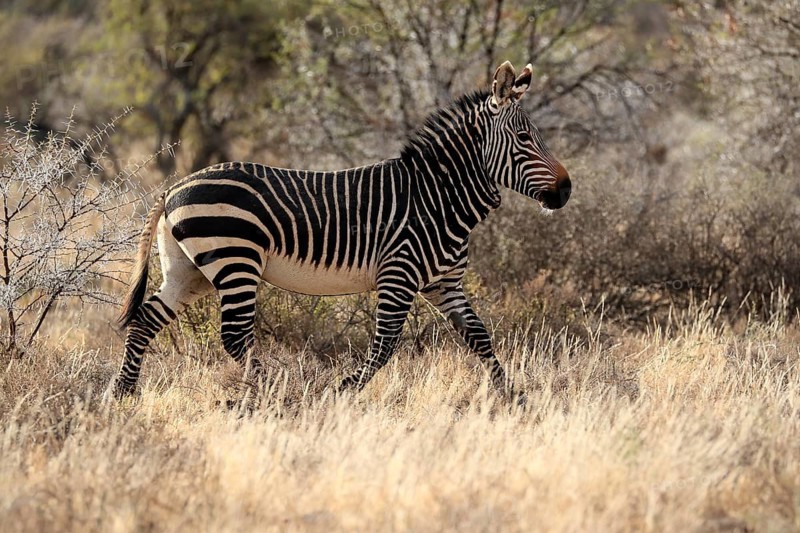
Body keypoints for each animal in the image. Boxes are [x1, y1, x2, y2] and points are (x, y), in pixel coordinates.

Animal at [113, 60, 571, 398]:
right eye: (524, 138)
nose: (566, 190)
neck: (437, 197)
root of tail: (174, 186)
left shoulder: (444, 283)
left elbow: (479, 337)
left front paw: (512, 398)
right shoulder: (398, 275)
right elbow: (385, 345)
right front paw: (340, 392)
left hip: (189, 270)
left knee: (147, 320)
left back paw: (123, 393)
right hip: (235, 260)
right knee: (235, 336)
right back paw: (271, 393)